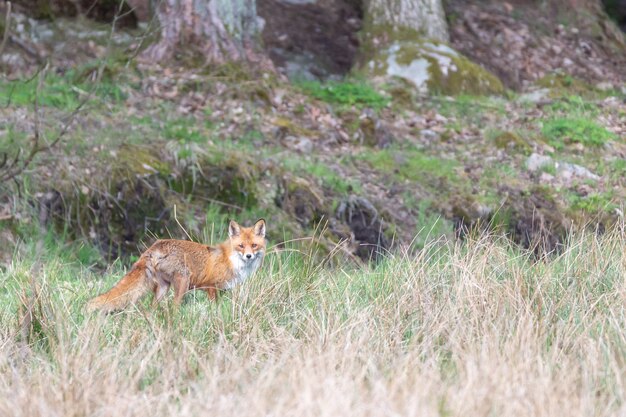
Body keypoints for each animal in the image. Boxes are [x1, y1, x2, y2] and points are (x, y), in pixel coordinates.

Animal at [86, 218, 266, 312]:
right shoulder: (211, 287)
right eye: (241, 246)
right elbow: (215, 308)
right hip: (182, 284)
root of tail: (155, 245)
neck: (231, 259)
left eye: (254, 245)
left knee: (152, 308)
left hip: (163, 288)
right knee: (174, 307)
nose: (249, 256)